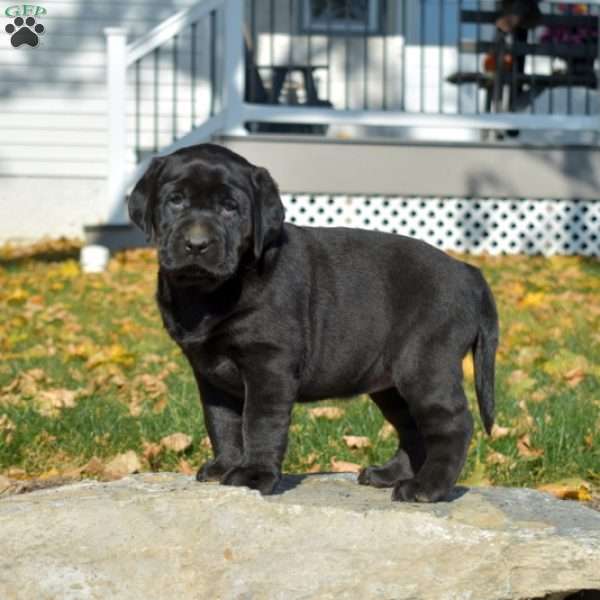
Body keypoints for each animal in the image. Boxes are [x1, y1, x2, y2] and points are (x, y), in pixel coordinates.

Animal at [129, 144, 500, 502]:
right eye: (176, 201)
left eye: (230, 208)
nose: (196, 244)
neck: (208, 292)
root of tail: (468, 271)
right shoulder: (208, 372)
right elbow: (221, 421)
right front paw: (225, 466)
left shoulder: (269, 364)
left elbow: (259, 422)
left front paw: (253, 476)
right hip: (390, 381)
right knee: (412, 427)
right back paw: (390, 474)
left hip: (424, 365)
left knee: (452, 424)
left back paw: (427, 488)